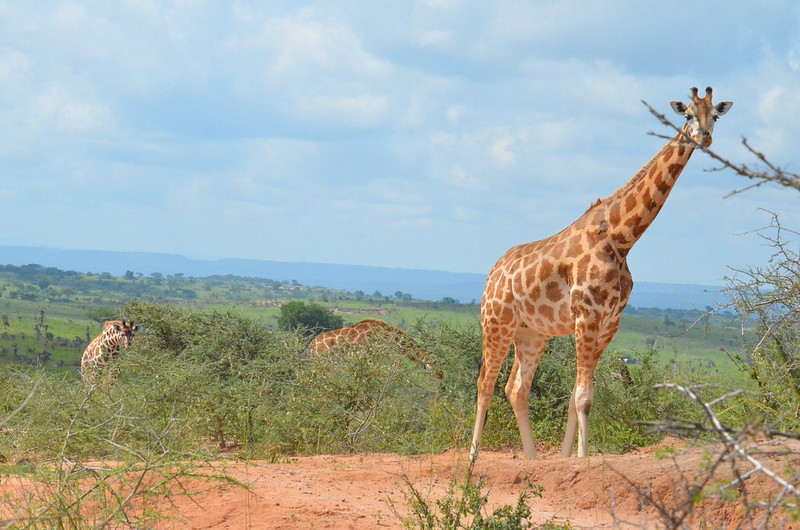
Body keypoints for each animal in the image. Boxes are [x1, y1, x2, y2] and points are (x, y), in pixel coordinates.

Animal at [472, 87, 736, 458]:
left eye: (715, 115)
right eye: (687, 115)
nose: (705, 137)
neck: (621, 238)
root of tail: (492, 273)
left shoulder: (610, 322)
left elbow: (575, 395)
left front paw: (566, 459)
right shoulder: (587, 315)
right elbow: (583, 397)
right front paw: (582, 459)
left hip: (532, 332)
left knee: (516, 388)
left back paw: (532, 460)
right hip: (496, 322)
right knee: (485, 382)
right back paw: (471, 460)